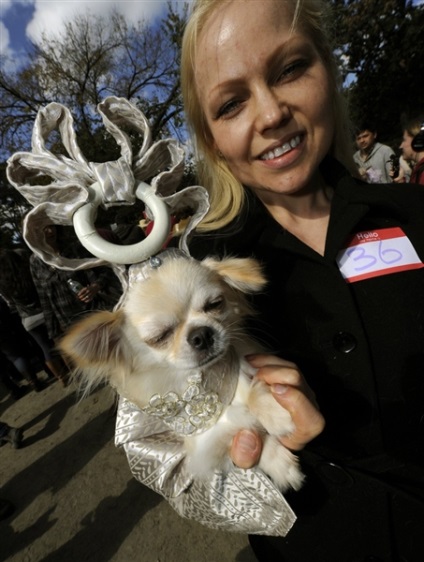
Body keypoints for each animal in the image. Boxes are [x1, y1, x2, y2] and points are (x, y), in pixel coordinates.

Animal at [60, 249, 304, 490]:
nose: (201, 334)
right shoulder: (198, 438)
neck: (203, 378)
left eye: (214, 304)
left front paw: (274, 411)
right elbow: (231, 425)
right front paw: (279, 462)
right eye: (159, 337)